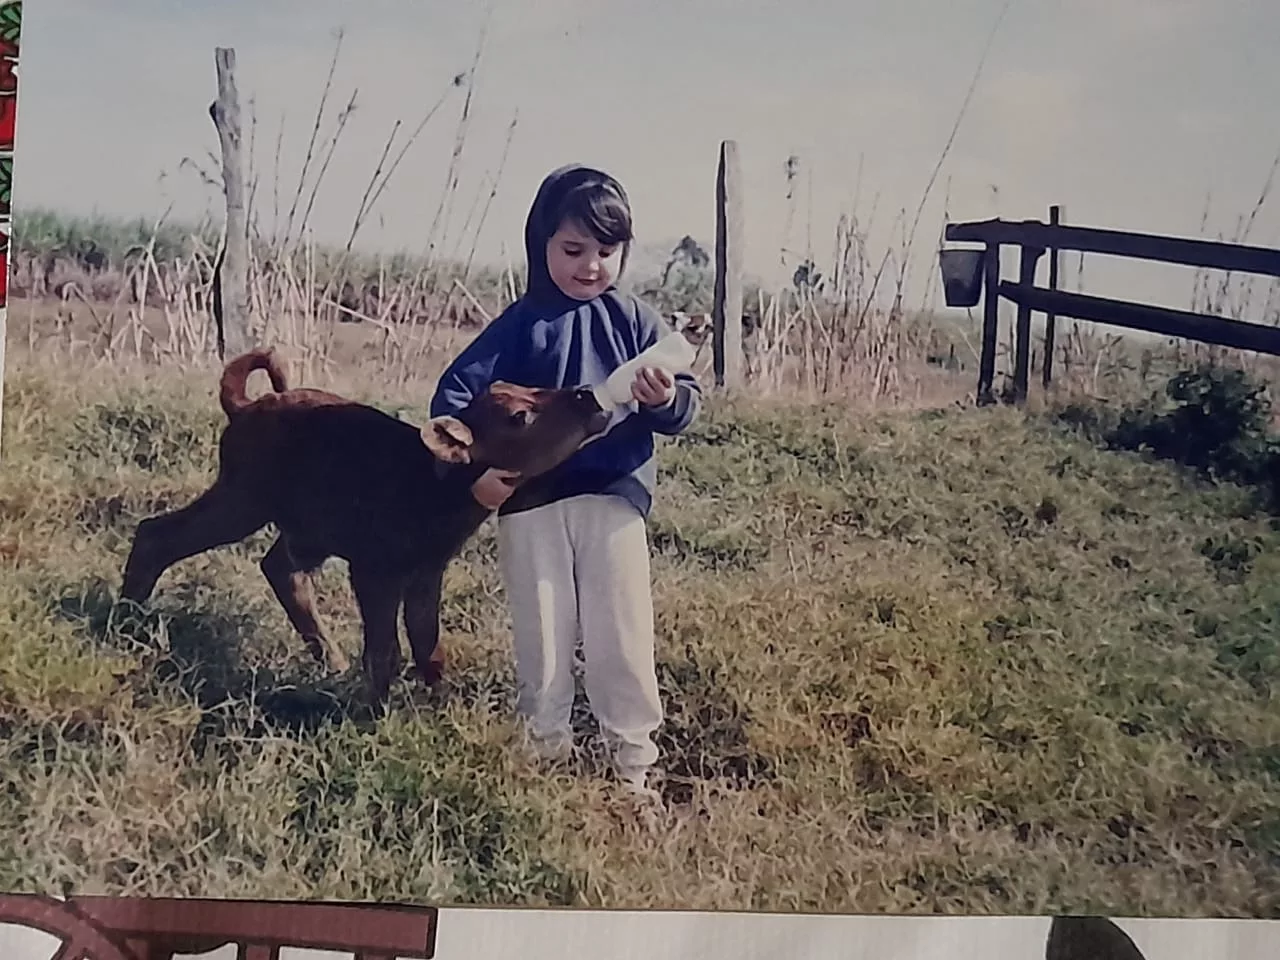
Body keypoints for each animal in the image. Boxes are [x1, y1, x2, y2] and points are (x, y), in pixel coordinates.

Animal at [122, 350, 611, 701]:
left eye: (531, 386)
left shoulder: (426, 570)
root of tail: (245, 407)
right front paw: (374, 712)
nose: (586, 394)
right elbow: (384, 650)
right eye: (519, 416)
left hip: (305, 528)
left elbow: (428, 644)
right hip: (243, 500)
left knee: (279, 569)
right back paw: (127, 620)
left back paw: (331, 660)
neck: (434, 486)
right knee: (158, 534)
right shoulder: (374, 568)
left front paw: (437, 703)